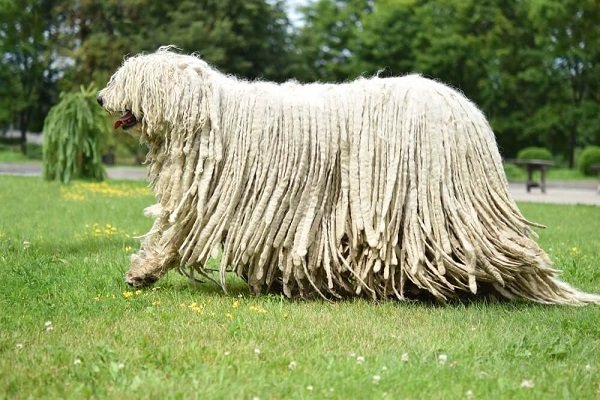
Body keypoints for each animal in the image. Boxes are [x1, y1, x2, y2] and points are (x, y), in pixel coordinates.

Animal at [96, 47, 596, 304]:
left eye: (125, 78)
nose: (100, 98)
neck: (208, 115)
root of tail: (468, 113)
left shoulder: (205, 196)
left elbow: (171, 231)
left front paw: (141, 272)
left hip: (434, 204)